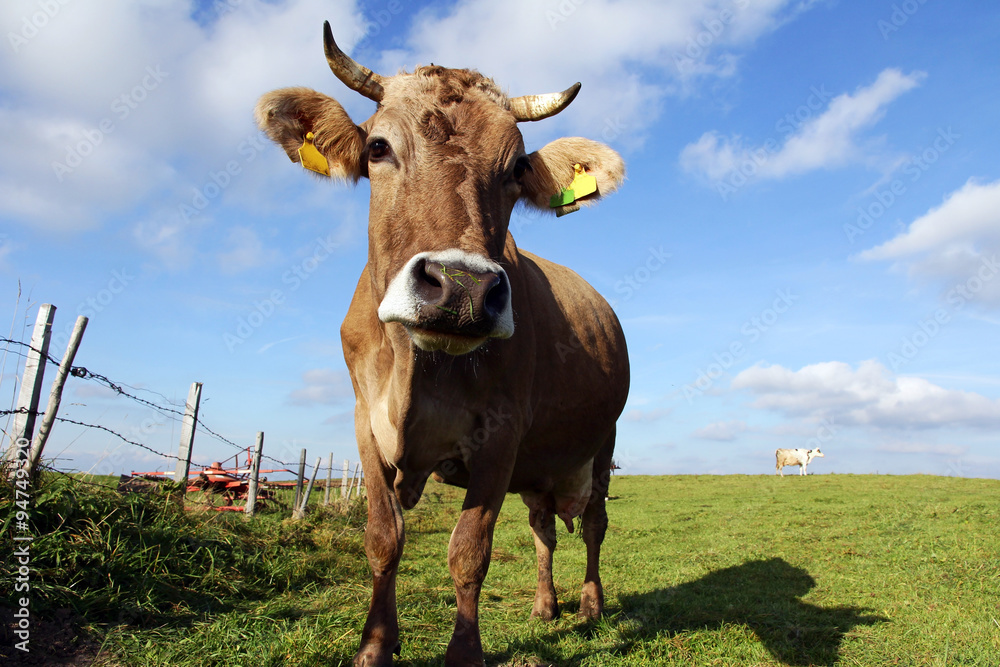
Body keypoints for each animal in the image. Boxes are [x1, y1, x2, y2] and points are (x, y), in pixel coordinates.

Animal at [258, 22, 628, 667]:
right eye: (378, 147)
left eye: (516, 169)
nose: (462, 288)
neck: (415, 366)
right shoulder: (365, 421)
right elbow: (383, 539)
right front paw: (376, 645)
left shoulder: (501, 435)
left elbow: (469, 552)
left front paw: (464, 653)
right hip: (541, 466)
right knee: (543, 526)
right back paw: (545, 605)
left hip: (602, 442)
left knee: (594, 524)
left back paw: (588, 605)